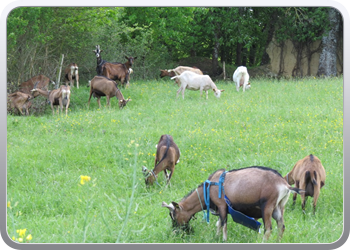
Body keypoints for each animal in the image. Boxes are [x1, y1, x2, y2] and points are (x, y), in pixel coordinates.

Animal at [163, 167, 304, 241]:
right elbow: (219, 223)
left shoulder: (222, 206)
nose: (175, 231)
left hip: (267, 207)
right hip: (279, 208)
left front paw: (223, 240)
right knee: (281, 226)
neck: (209, 188)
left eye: (173, 216)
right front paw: (216, 237)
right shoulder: (221, 209)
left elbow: (224, 224)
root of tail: (285, 185)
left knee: (268, 228)